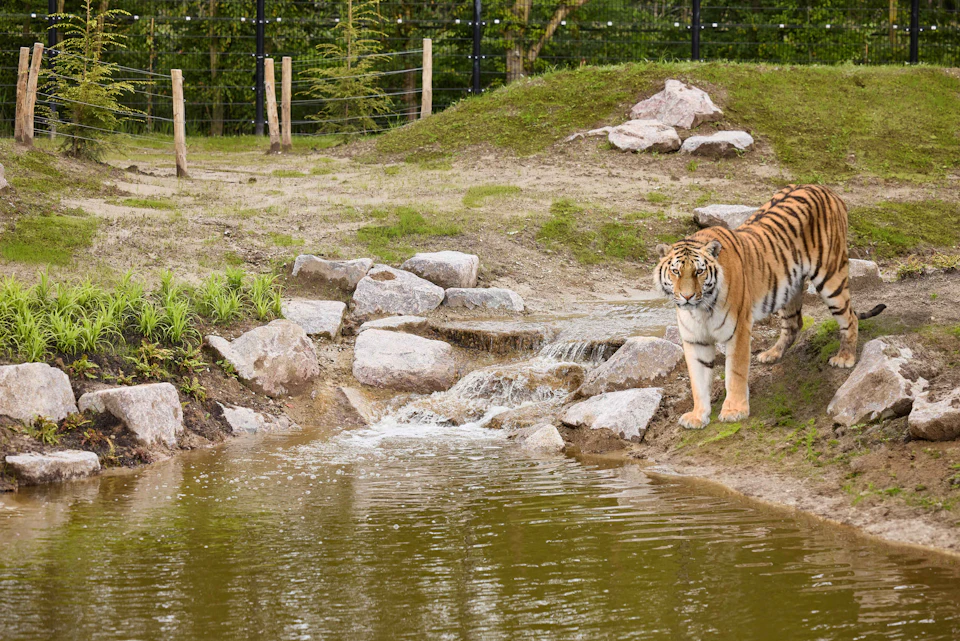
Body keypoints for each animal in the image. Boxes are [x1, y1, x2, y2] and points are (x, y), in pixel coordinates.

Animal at [654, 184, 885, 430]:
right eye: (676, 271)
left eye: (699, 271)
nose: (687, 296)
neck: (700, 309)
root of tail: (825, 188)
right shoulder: (694, 339)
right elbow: (697, 381)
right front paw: (698, 416)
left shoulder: (738, 331)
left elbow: (735, 373)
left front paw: (734, 411)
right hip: (788, 288)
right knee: (794, 324)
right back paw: (772, 354)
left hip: (831, 278)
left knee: (850, 317)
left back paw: (845, 358)